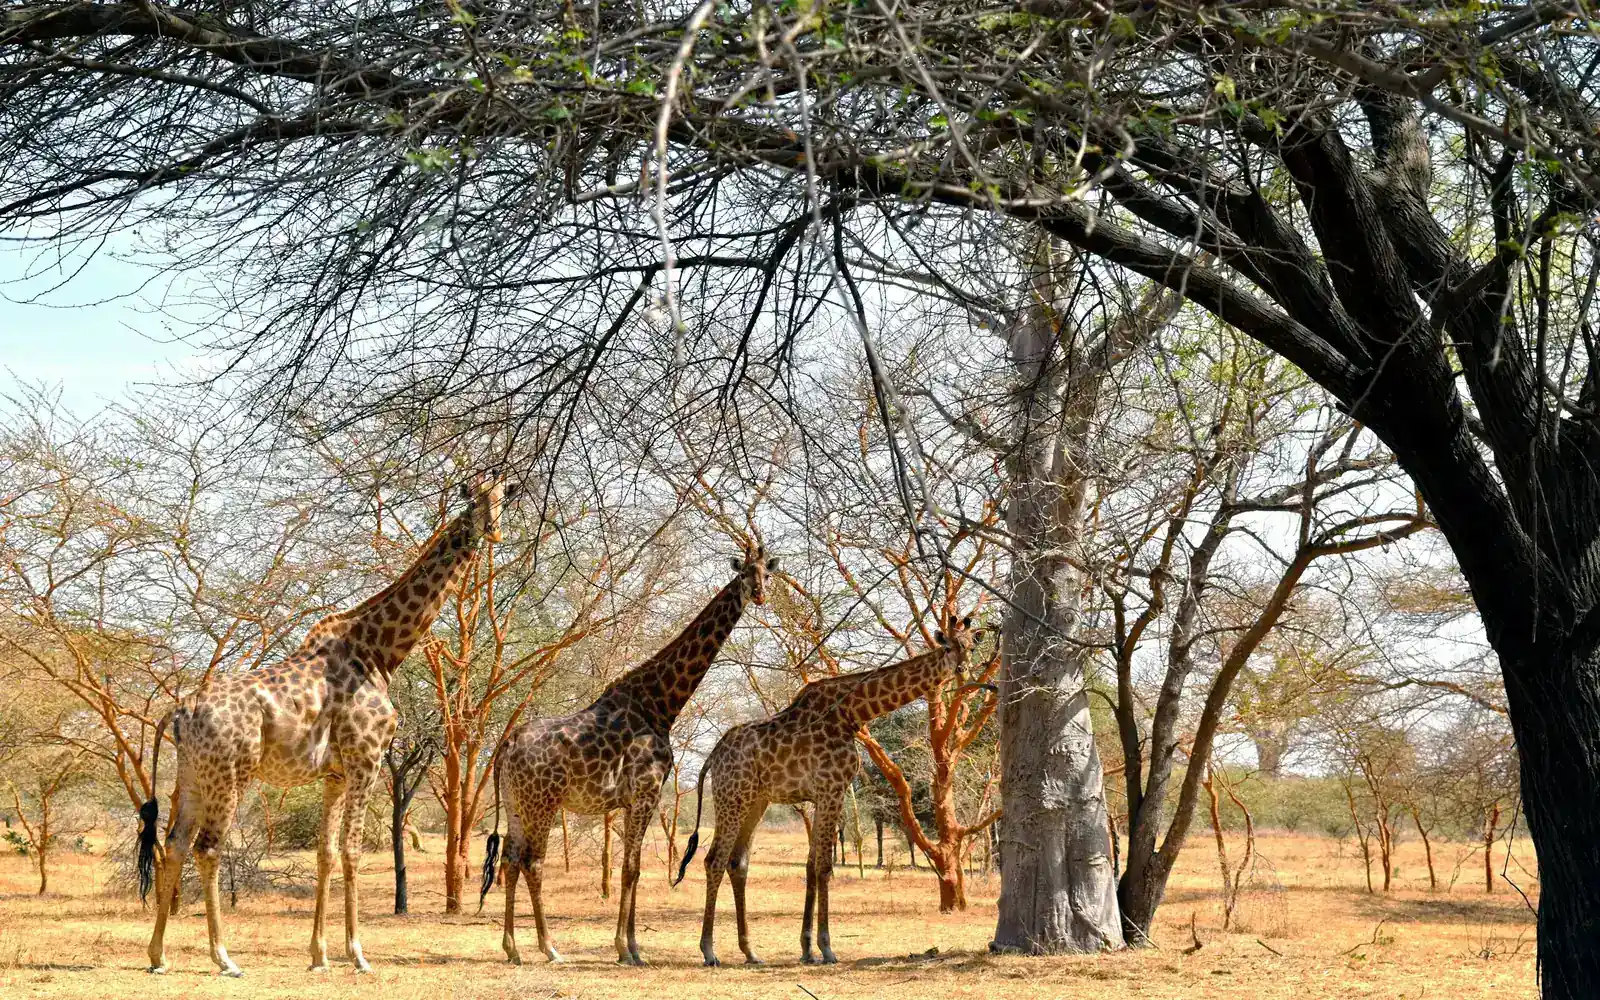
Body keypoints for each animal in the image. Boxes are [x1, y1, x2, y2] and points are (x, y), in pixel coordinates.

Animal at [137, 474, 515, 976]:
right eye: (474, 501)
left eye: (502, 498)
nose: (493, 531)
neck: (381, 652)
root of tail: (179, 711)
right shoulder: (366, 760)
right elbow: (353, 851)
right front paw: (357, 953)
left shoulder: (334, 774)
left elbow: (326, 853)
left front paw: (319, 955)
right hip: (231, 774)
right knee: (208, 848)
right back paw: (224, 958)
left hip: (194, 774)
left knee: (175, 845)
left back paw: (158, 955)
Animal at [484, 542, 778, 966]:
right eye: (743, 575)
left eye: (767, 574)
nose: (759, 595)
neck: (660, 703)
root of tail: (505, 746)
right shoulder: (645, 793)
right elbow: (631, 868)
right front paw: (627, 948)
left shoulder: (634, 799)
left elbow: (633, 868)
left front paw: (632, 946)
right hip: (543, 801)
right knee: (532, 862)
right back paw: (549, 947)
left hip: (515, 802)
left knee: (509, 860)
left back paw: (512, 948)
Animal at [675, 614, 984, 967]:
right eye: (946, 645)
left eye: (970, 646)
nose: (962, 669)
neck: (853, 712)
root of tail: (713, 757)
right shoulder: (832, 789)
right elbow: (823, 867)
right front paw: (826, 947)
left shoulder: (819, 795)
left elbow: (811, 866)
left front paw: (807, 948)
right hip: (732, 796)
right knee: (714, 860)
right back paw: (708, 950)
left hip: (756, 801)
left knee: (737, 862)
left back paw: (750, 952)